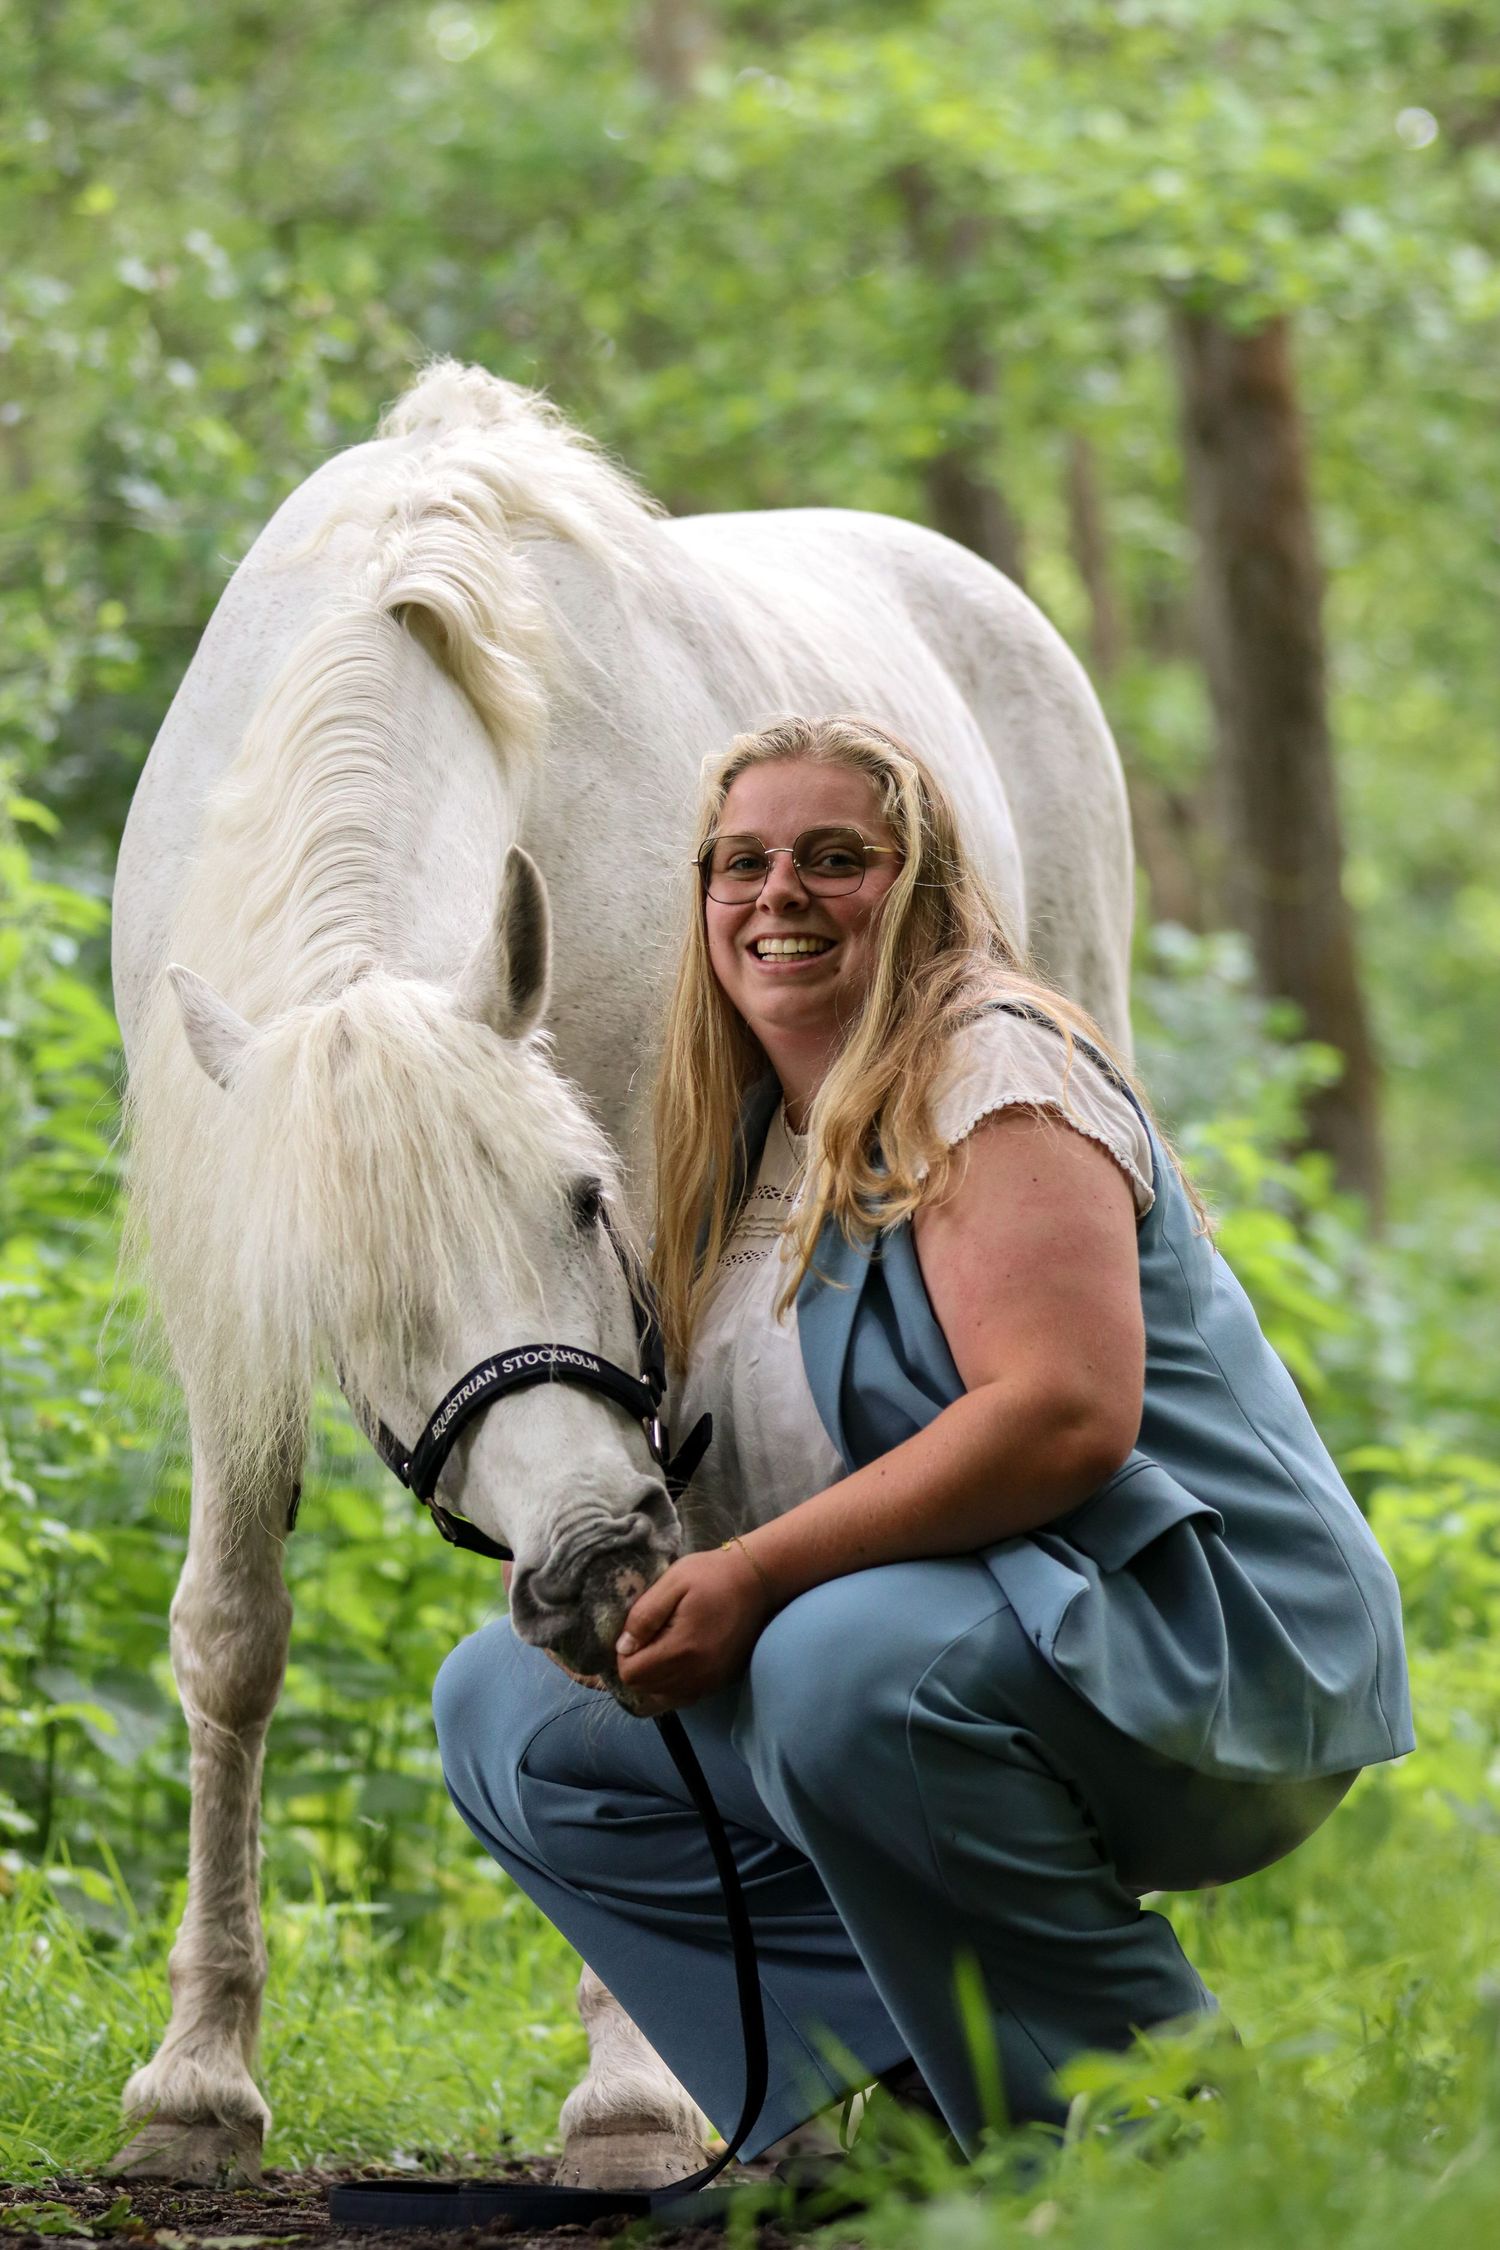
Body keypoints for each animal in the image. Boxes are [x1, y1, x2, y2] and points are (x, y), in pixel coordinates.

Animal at [109, 358, 1135, 2189]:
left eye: (584, 1202)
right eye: (347, 1321)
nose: (589, 1560)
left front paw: (641, 2095)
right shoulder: (235, 1281)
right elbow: (231, 1639)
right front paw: (197, 2082)